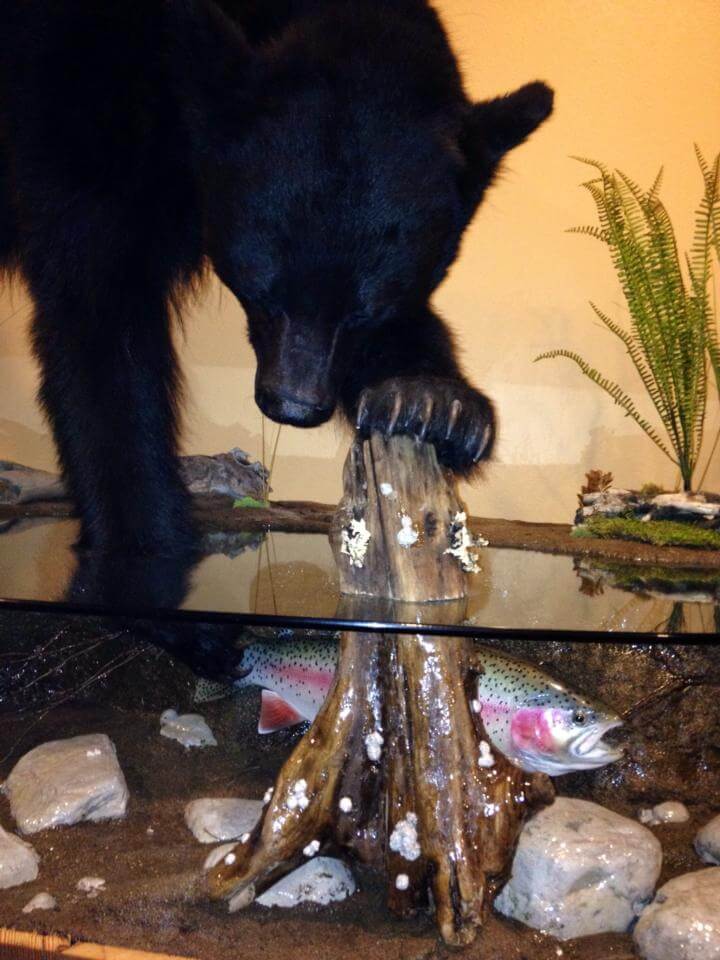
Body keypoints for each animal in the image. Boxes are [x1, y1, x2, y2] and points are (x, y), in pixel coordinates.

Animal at [0, 0, 553, 558]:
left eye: (365, 312)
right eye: (263, 293)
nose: (293, 405)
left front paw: (433, 403)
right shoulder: (86, 107)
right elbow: (99, 309)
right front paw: (141, 538)